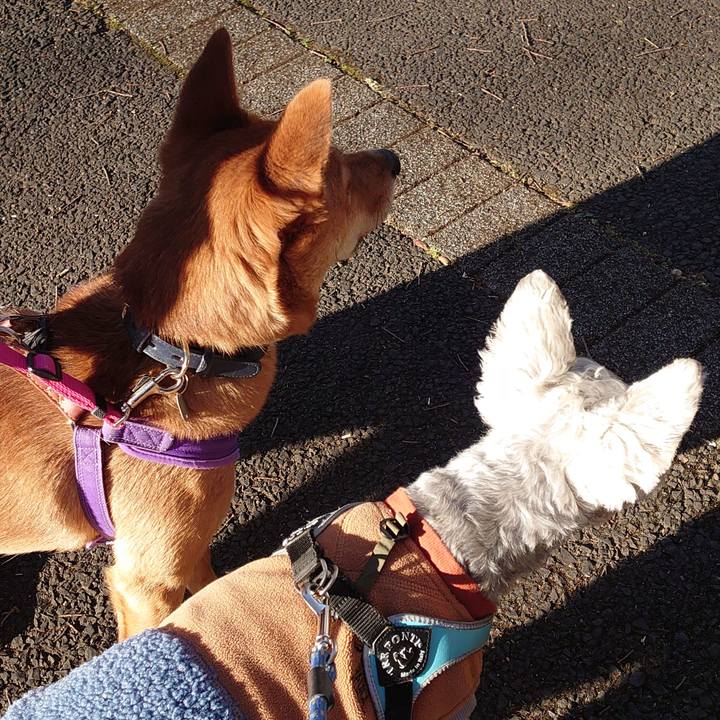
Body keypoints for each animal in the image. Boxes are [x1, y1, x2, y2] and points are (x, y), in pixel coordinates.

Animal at [0, 28, 399, 640]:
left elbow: (211, 586)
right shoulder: (146, 581)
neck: (167, 351)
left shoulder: (186, 553)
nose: (395, 158)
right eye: (343, 173)